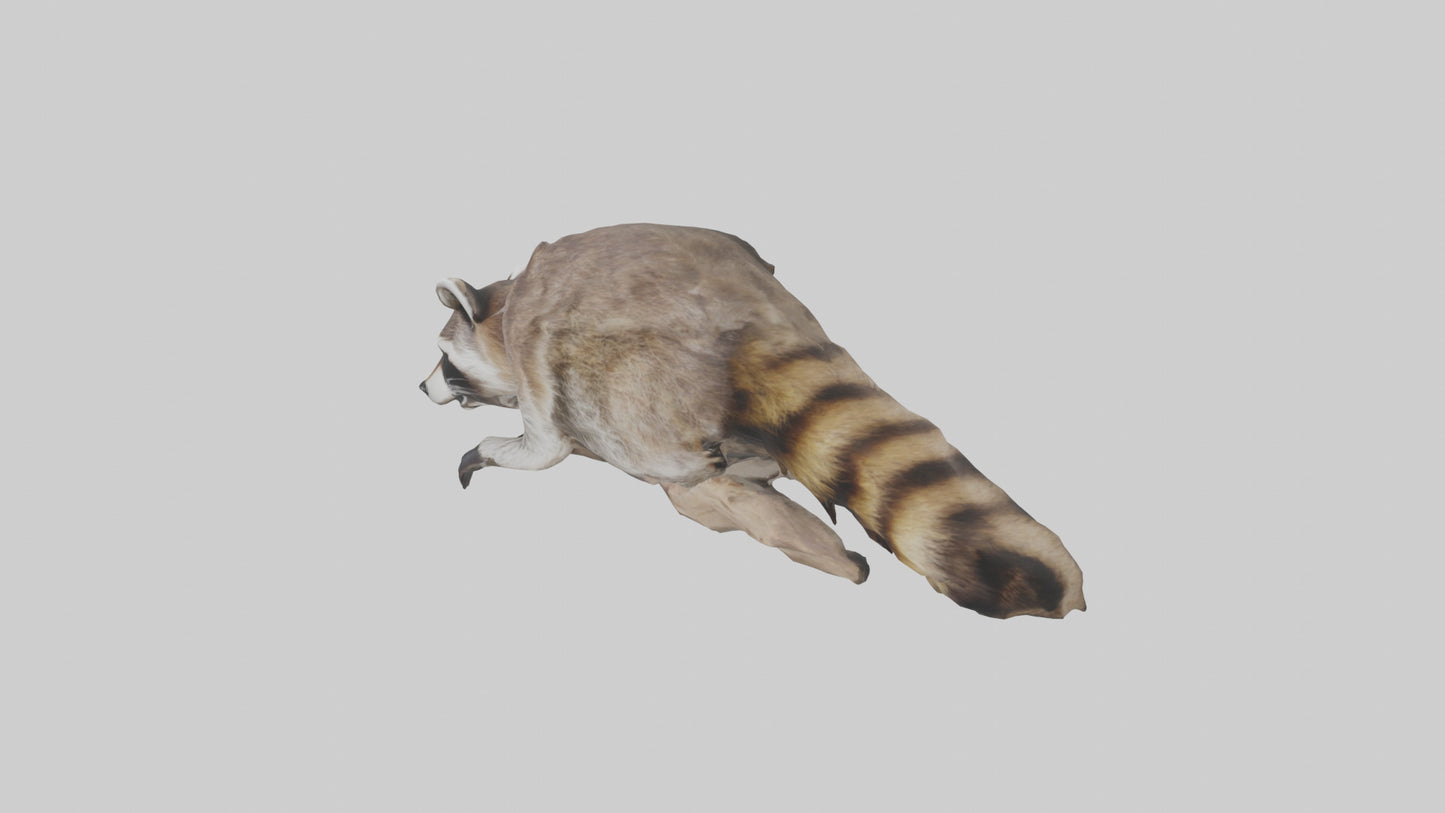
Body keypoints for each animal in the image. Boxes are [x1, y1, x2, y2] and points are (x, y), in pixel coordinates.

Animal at [420, 223, 1085, 619]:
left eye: (445, 360)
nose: (420, 387)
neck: (502, 309)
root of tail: (755, 321)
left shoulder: (532, 343)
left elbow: (546, 445)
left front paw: (494, 447)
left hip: (635, 370)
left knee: (642, 444)